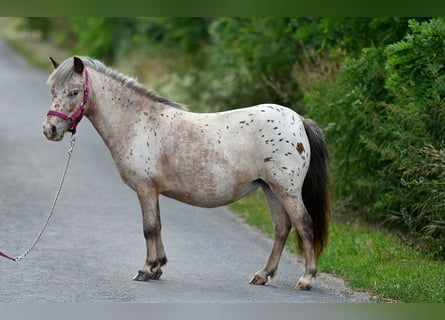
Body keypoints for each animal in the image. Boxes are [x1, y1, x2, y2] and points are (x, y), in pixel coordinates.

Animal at [43, 56, 328, 292]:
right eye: (53, 91)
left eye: (74, 92)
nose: (50, 130)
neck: (137, 122)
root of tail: (299, 121)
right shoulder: (153, 190)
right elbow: (157, 226)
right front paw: (157, 267)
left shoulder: (146, 188)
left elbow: (149, 228)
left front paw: (146, 270)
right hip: (270, 189)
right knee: (282, 229)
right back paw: (262, 275)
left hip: (286, 190)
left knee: (304, 225)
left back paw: (306, 280)